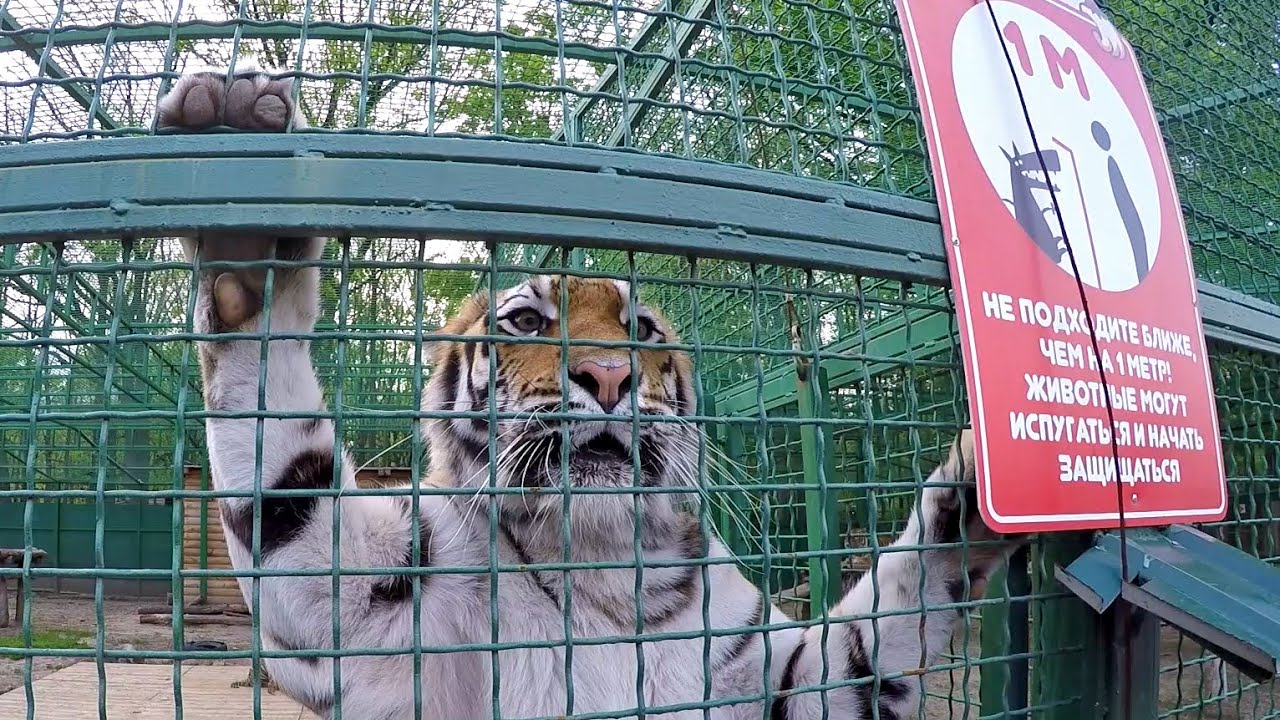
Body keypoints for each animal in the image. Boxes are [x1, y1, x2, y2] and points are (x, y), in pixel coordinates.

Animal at [165, 64, 1029, 712]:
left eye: (640, 330)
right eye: (524, 320)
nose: (608, 376)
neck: (606, 572)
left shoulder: (786, 680)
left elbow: (876, 628)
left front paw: (976, 492)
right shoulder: (352, 611)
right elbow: (286, 478)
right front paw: (246, 238)